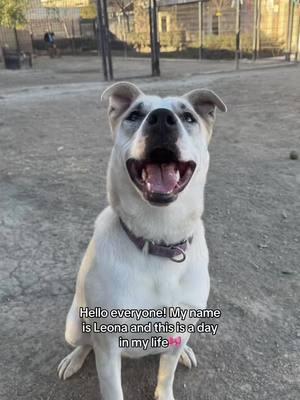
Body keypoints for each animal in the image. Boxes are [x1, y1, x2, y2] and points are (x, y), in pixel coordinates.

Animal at [57, 82, 226, 400]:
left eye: (188, 117)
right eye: (135, 115)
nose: (161, 119)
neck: (158, 238)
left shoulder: (179, 325)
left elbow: (166, 375)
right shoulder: (108, 344)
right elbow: (112, 387)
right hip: (74, 325)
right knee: (85, 342)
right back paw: (73, 359)